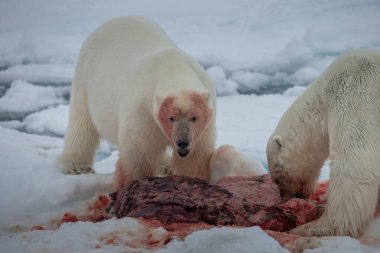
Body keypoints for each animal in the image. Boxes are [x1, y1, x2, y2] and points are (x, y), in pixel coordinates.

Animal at [57, 15, 217, 189]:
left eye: (194, 117)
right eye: (171, 118)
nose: (182, 142)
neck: (172, 67)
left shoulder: (205, 121)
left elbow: (195, 157)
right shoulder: (141, 108)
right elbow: (138, 155)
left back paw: (166, 165)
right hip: (86, 76)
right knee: (82, 123)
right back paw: (76, 166)